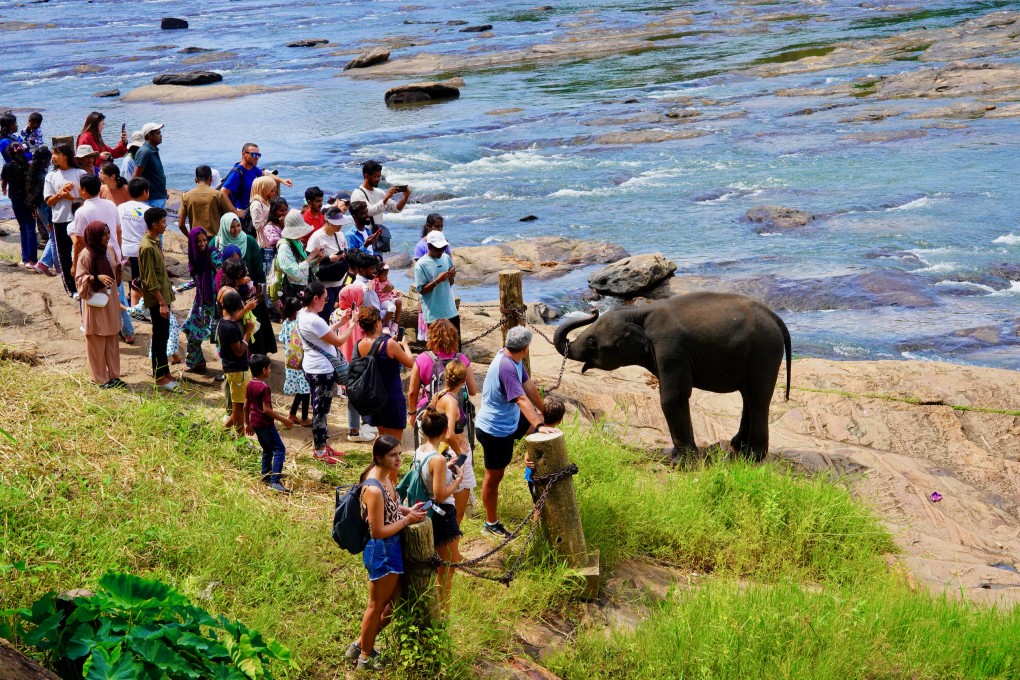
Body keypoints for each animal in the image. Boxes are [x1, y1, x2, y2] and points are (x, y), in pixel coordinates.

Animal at [552, 292, 791, 462]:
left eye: (592, 342)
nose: (593, 310)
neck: (639, 312)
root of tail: (776, 318)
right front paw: (677, 457)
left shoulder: (671, 349)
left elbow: (672, 397)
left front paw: (682, 464)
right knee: (748, 397)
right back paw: (737, 446)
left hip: (764, 352)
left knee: (757, 399)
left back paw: (752, 457)